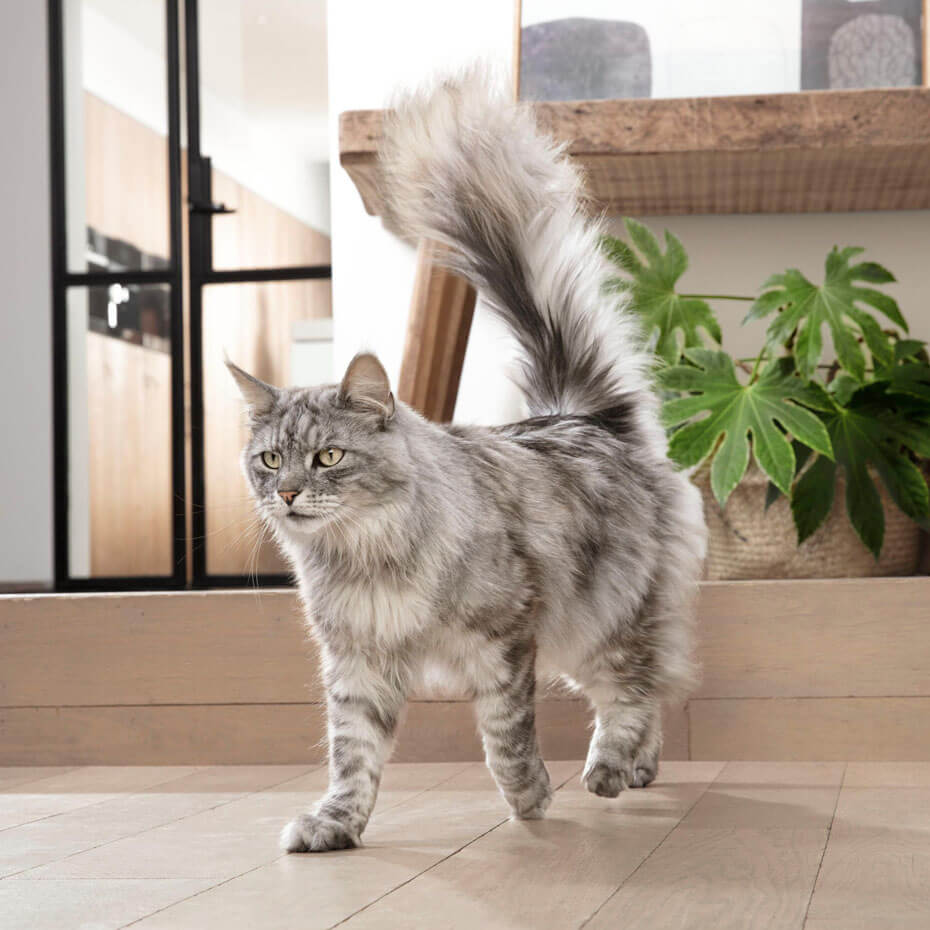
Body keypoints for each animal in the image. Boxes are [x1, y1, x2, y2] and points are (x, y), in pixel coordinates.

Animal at [227, 65, 704, 852]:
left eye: (327, 456)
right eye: (269, 461)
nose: (289, 495)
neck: (366, 559)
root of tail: (584, 417)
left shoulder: (504, 637)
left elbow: (504, 736)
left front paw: (529, 800)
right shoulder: (358, 663)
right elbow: (353, 757)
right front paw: (336, 825)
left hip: (598, 621)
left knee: (635, 687)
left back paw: (608, 770)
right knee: (652, 689)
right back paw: (641, 770)